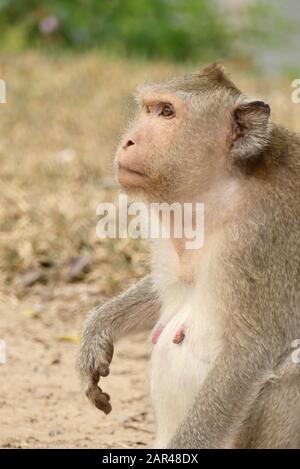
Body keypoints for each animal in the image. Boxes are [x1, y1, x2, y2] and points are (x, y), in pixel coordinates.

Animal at [78, 64, 300, 448]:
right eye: (148, 109)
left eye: (167, 112)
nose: (128, 141)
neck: (222, 191)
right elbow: (162, 288)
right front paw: (98, 328)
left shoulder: (266, 235)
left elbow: (249, 355)